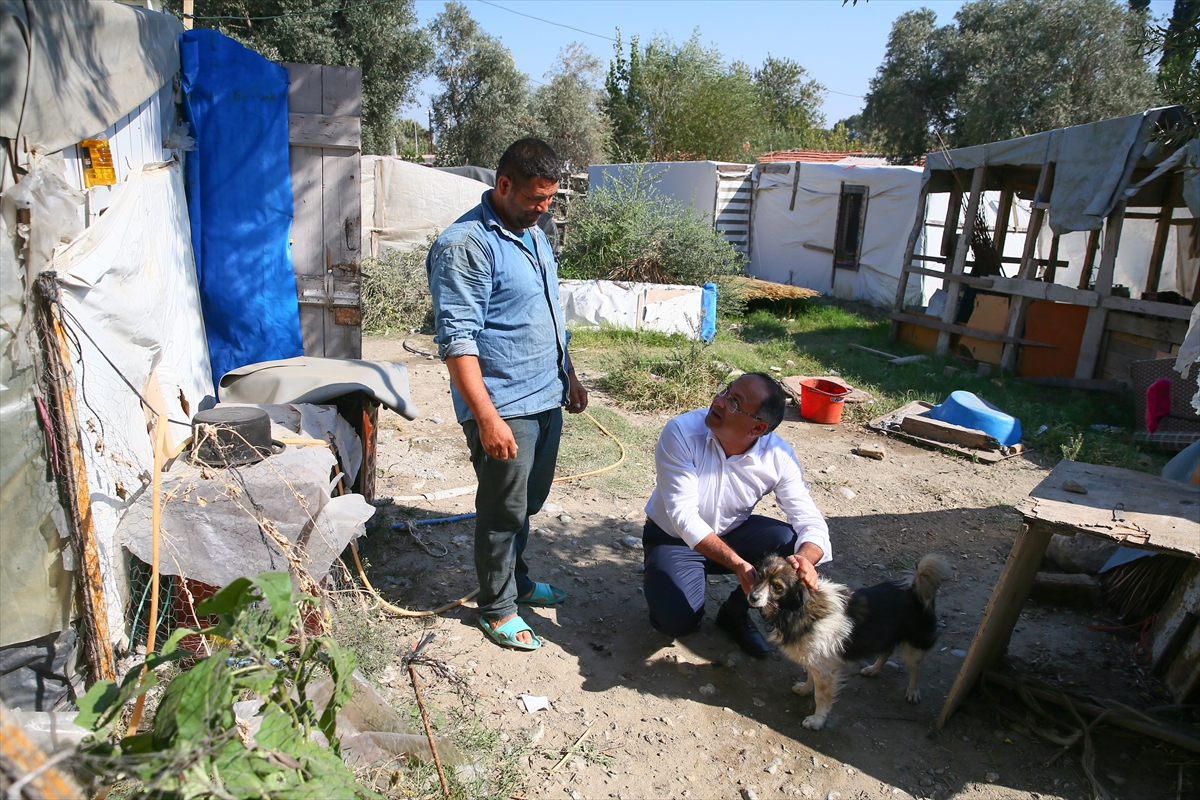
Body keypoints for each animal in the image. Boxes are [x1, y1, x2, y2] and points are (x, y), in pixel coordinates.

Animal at [748, 556, 945, 734]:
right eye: (759, 575)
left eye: (778, 587)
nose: (752, 596)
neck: (797, 611)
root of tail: (914, 589)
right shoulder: (815, 660)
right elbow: (810, 677)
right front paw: (805, 689)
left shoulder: (825, 670)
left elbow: (821, 696)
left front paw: (817, 720)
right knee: (887, 651)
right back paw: (873, 670)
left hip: (915, 645)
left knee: (915, 668)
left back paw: (913, 691)